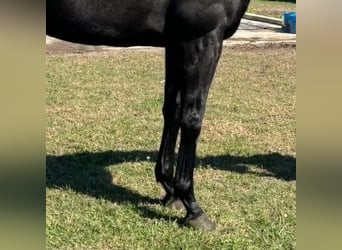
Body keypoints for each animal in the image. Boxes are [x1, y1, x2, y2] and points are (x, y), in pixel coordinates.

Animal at [46, 0, 251, 230]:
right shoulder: (202, 40)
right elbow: (192, 118)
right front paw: (193, 208)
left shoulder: (176, 43)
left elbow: (173, 111)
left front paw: (171, 193)